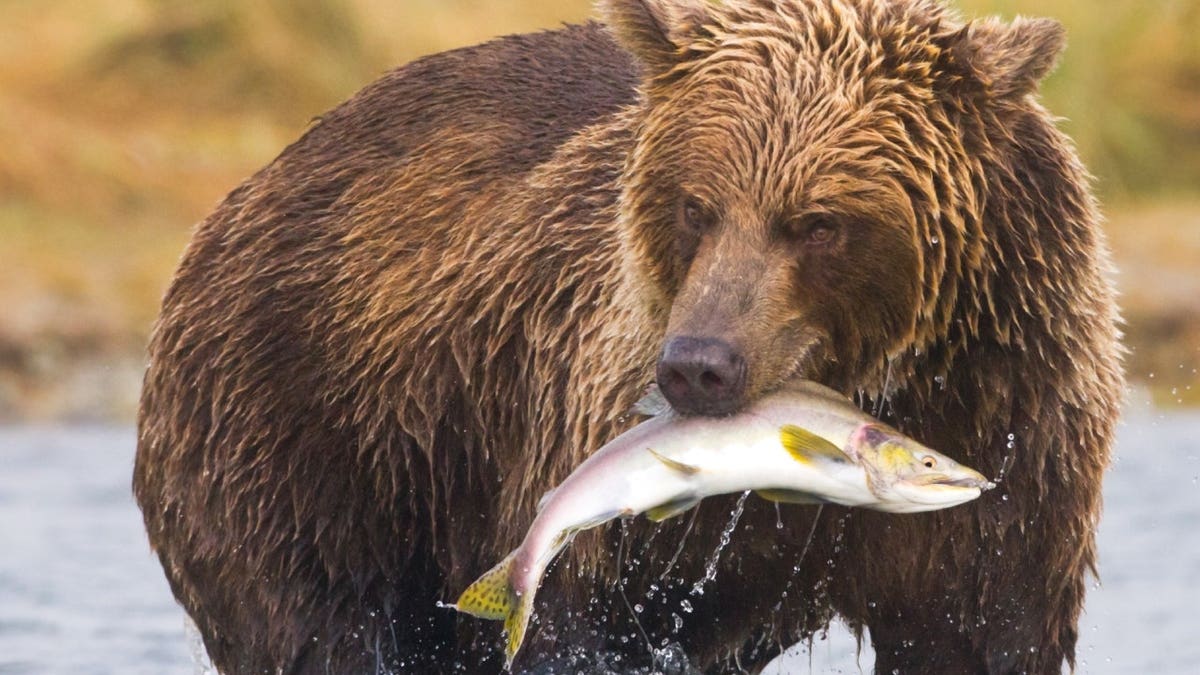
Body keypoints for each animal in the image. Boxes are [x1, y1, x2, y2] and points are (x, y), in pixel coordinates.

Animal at [134, 0, 1124, 673]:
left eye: (818, 223)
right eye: (696, 204)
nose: (698, 367)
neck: (882, 375)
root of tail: (247, 191)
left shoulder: (1015, 428)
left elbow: (982, 626)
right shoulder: (590, 425)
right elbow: (581, 616)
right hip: (309, 436)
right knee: (316, 623)